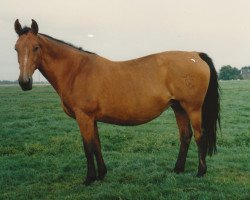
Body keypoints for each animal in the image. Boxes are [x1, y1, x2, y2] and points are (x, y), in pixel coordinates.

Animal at [14, 19, 221, 185]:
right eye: (16, 48)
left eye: (36, 47)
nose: (24, 82)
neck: (76, 70)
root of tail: (194, 55)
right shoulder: (92, 119)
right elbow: (96, 144)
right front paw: (101, 174)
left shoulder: (84, 117)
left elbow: (87, 147)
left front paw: (89, 179)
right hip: (178, 108)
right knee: (185, 136)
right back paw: (177, 169)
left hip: (193, 108)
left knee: (199, 136)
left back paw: (200, 172)